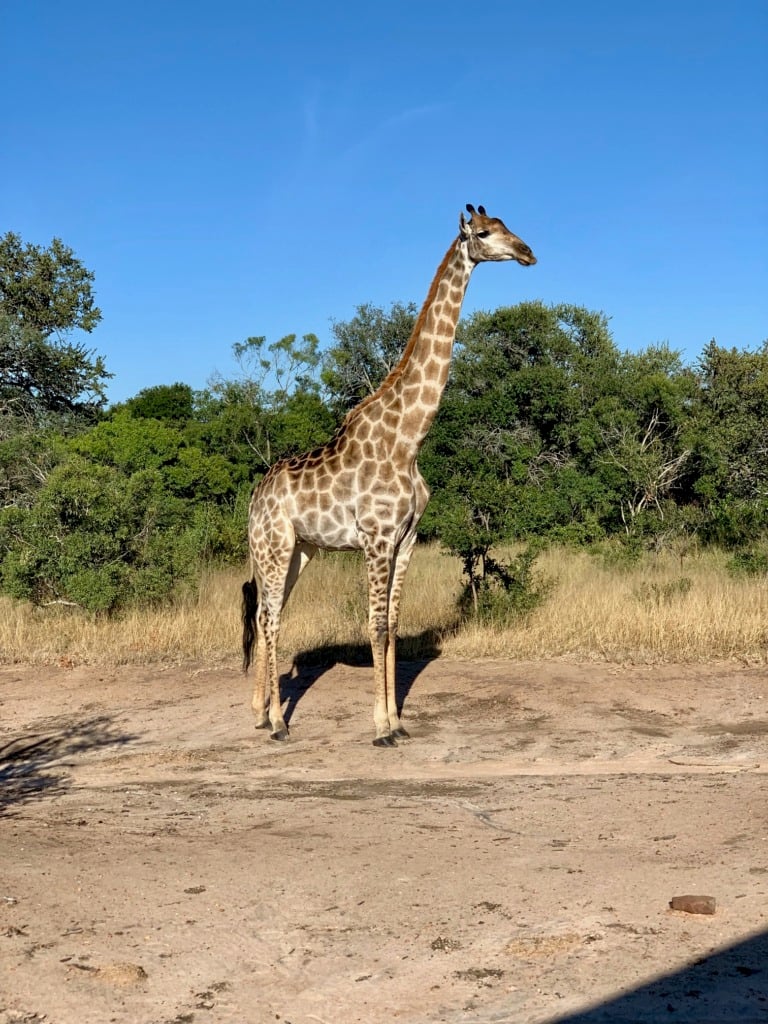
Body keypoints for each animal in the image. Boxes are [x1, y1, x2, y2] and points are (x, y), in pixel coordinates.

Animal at [242, 204, 536, 746]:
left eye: (509, 226)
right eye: (486, 234)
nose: (528, 252)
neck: (408, 439)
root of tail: (255, 496)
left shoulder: (408, 538)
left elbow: (394, 627)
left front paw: (399, 721)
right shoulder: (376, 538)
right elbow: (375, 626)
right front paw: (381, 727)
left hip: (298, 551)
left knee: (267, 613)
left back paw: (259, 712)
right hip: (273, 547)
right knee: (269, 618)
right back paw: (277, 723)